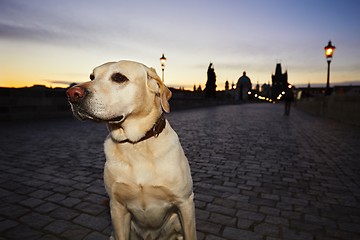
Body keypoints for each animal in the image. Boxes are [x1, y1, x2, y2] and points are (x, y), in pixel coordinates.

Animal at [67, 60, 197, 240]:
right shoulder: (117, 207)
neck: (136, 143)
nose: (72, 93)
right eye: (92, 76)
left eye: (119, 78)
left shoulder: (185, 203)